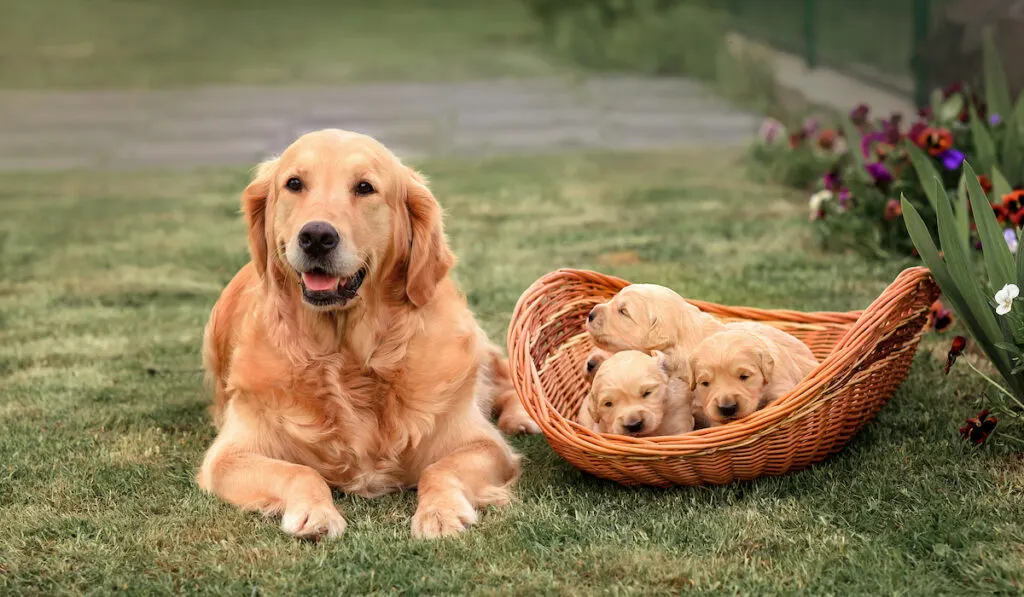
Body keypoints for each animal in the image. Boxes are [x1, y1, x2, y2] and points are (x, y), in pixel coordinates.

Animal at [194, 128, 540, 540]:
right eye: (294, 184)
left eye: (364, 187)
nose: (316, 236)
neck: (347, 359)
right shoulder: (228, 456)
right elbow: (300, 471)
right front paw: (315, 512)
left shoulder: (483, 444)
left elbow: (439, 467)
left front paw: (440, 513)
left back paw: (523, 417)